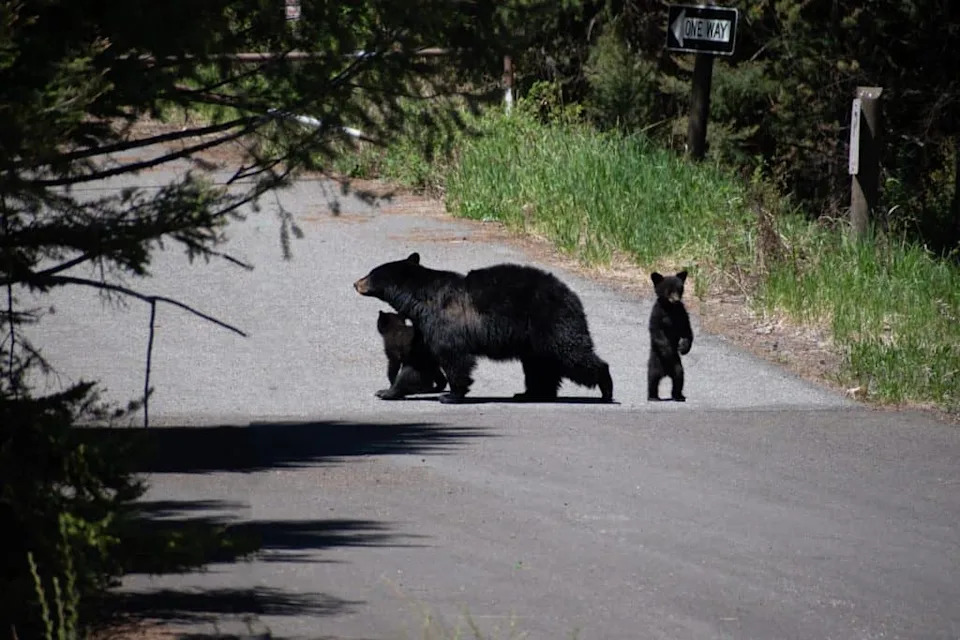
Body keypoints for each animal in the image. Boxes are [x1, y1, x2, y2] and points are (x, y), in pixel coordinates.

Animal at [354, 252, 613, 404]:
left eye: (371, 273)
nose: (356, 283)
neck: (421, 299)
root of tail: (572, 296)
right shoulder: (425, 328)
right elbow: (417, 363)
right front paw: (387, 391)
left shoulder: (443, 321)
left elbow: (454, 357)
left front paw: (451, 395)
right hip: (533, 340)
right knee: (540, 365)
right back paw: (532, 393)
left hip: (551, 324)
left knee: (572, 354)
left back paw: (606, 388)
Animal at [647, 270, 694, 401]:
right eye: (669, 290)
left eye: (679, 289)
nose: (676, 300)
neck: (670, 308)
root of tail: (666, 373)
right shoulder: (657, 315)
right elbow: (658, 333)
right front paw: (668, 351)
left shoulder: (682, 313)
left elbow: (687, 331)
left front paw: (684, 347)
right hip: (655, 363)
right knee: (652, 379)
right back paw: (653, 396)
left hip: (677, 366)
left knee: (679, 377)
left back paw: (678, 396)